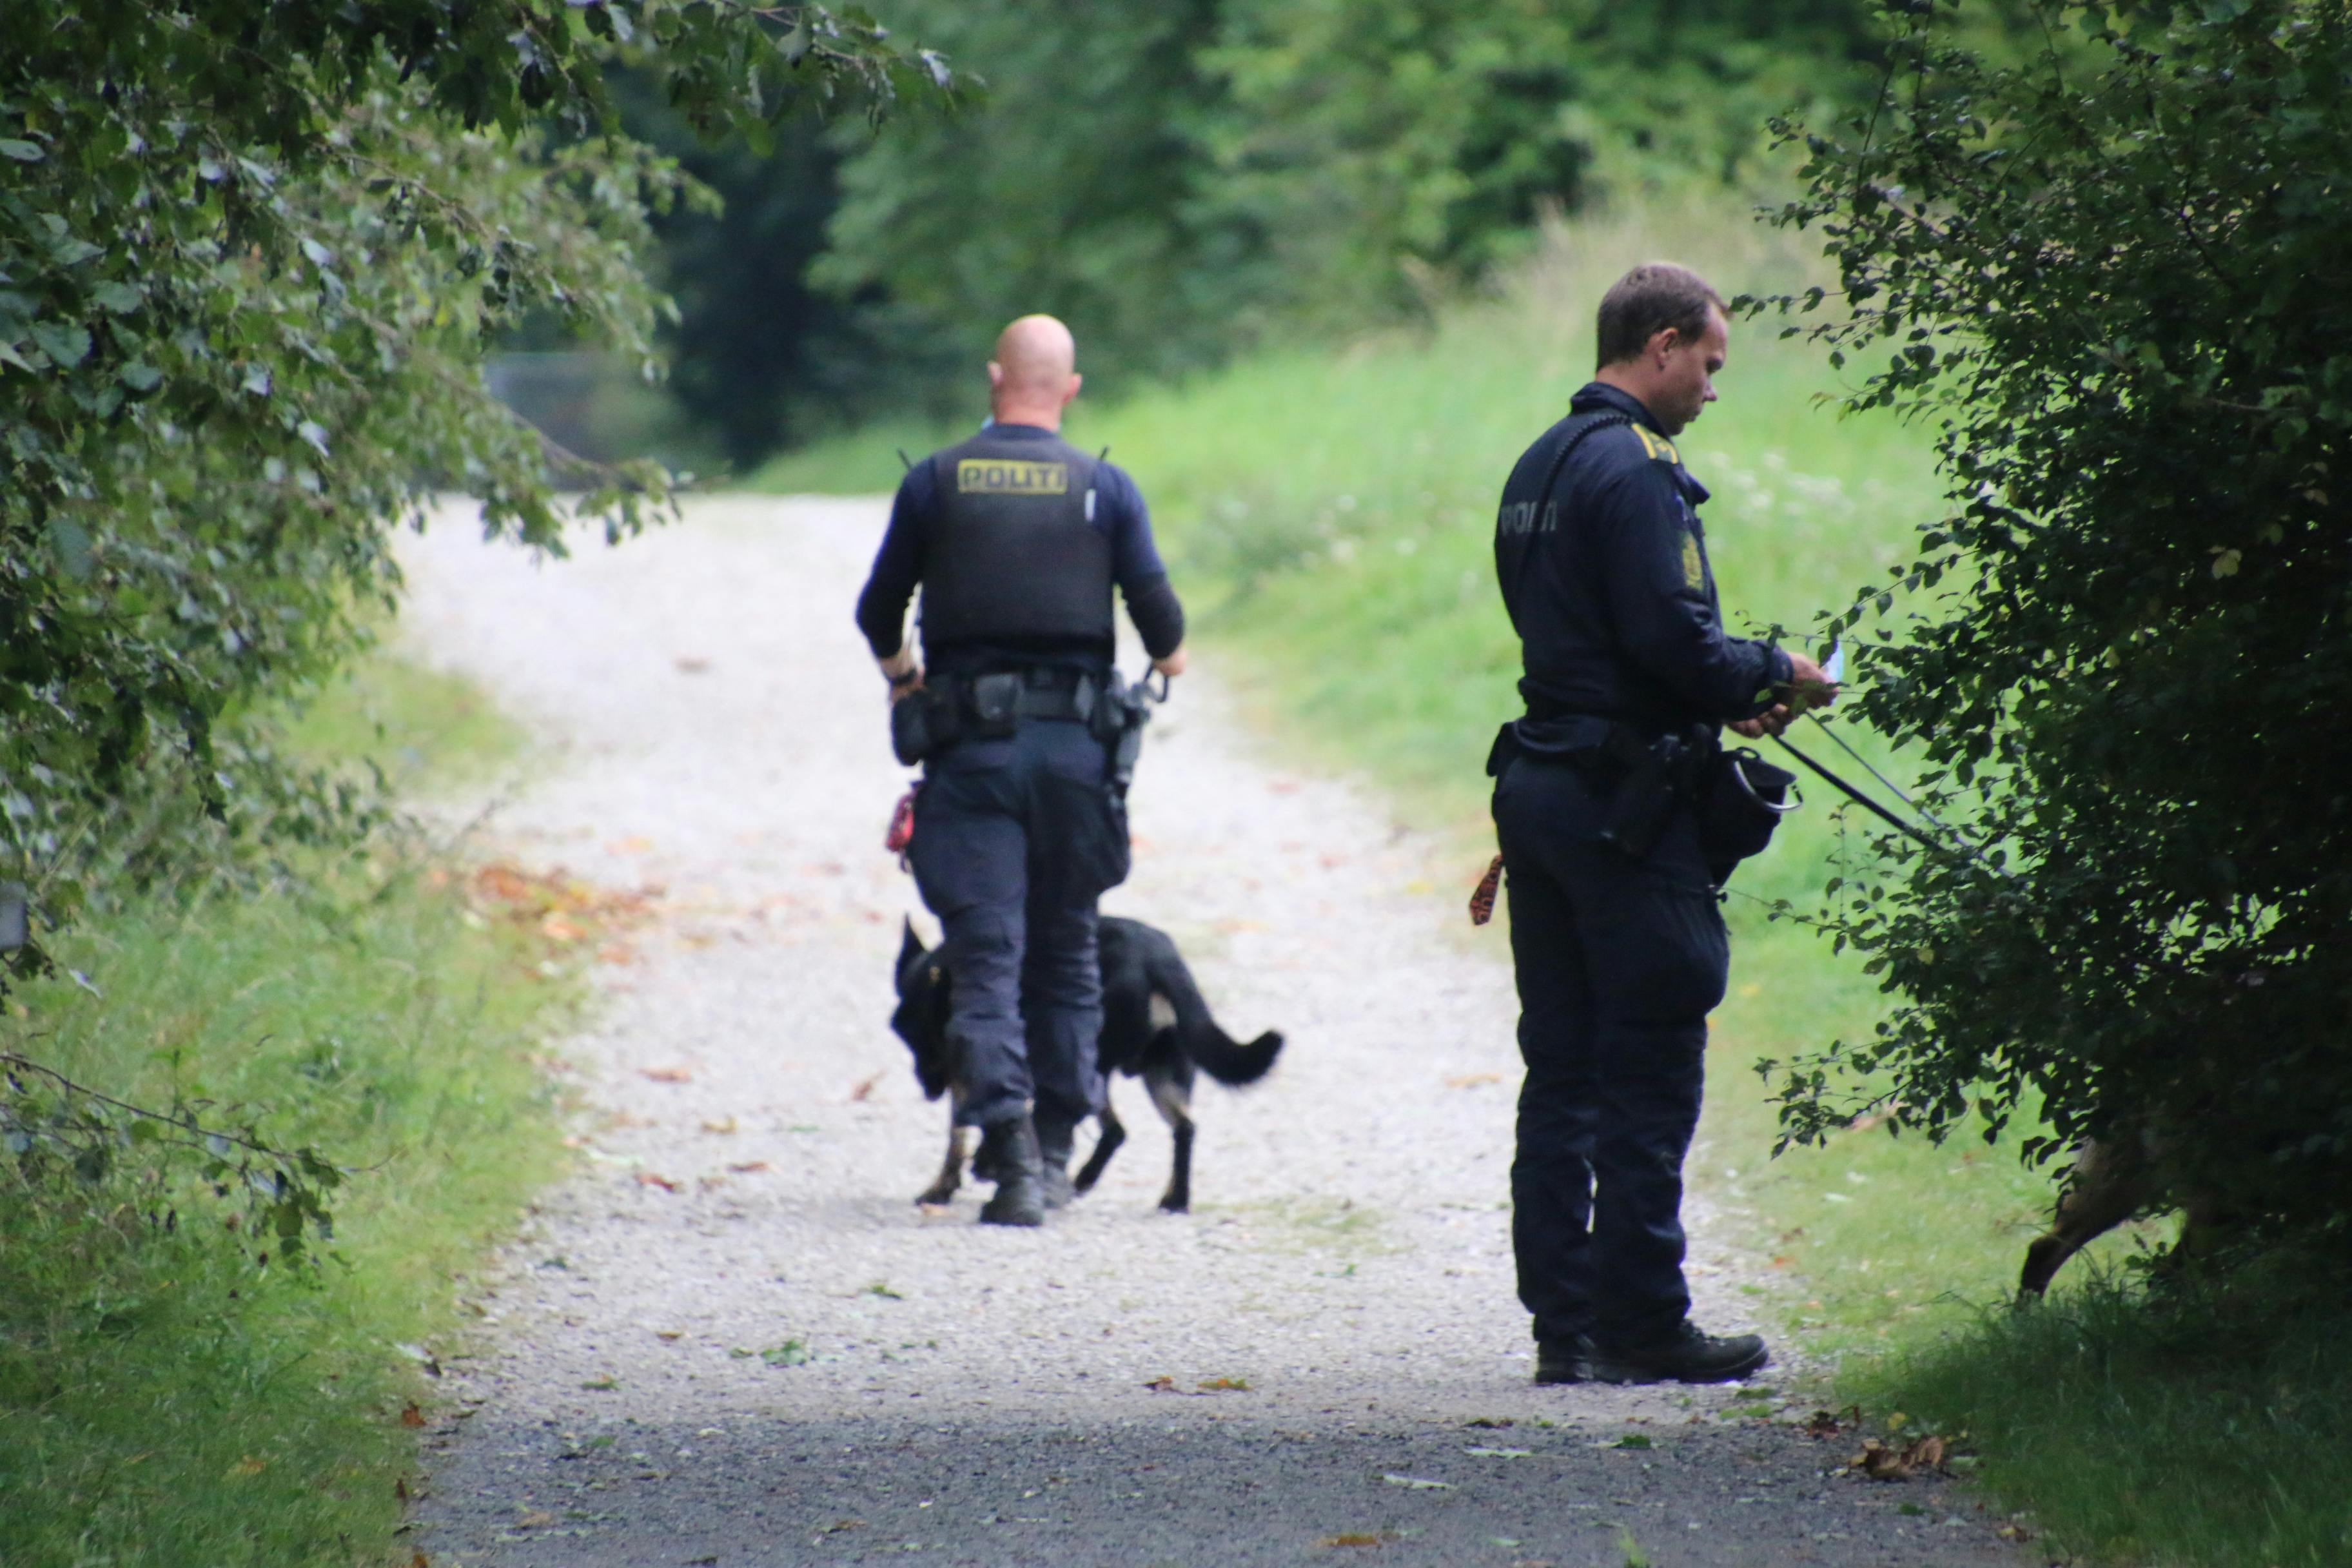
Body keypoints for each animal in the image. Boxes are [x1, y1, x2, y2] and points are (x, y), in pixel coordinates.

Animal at [888, 921, 1289, 1213]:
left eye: (915, 1034)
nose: (927, 1086)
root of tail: (1158, 956)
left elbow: (971, 1129)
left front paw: (965, 1174)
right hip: (1162, 1074)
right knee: (1177, 1129)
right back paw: (1171, 1197)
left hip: (1091, 1062)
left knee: (1114, 1128)